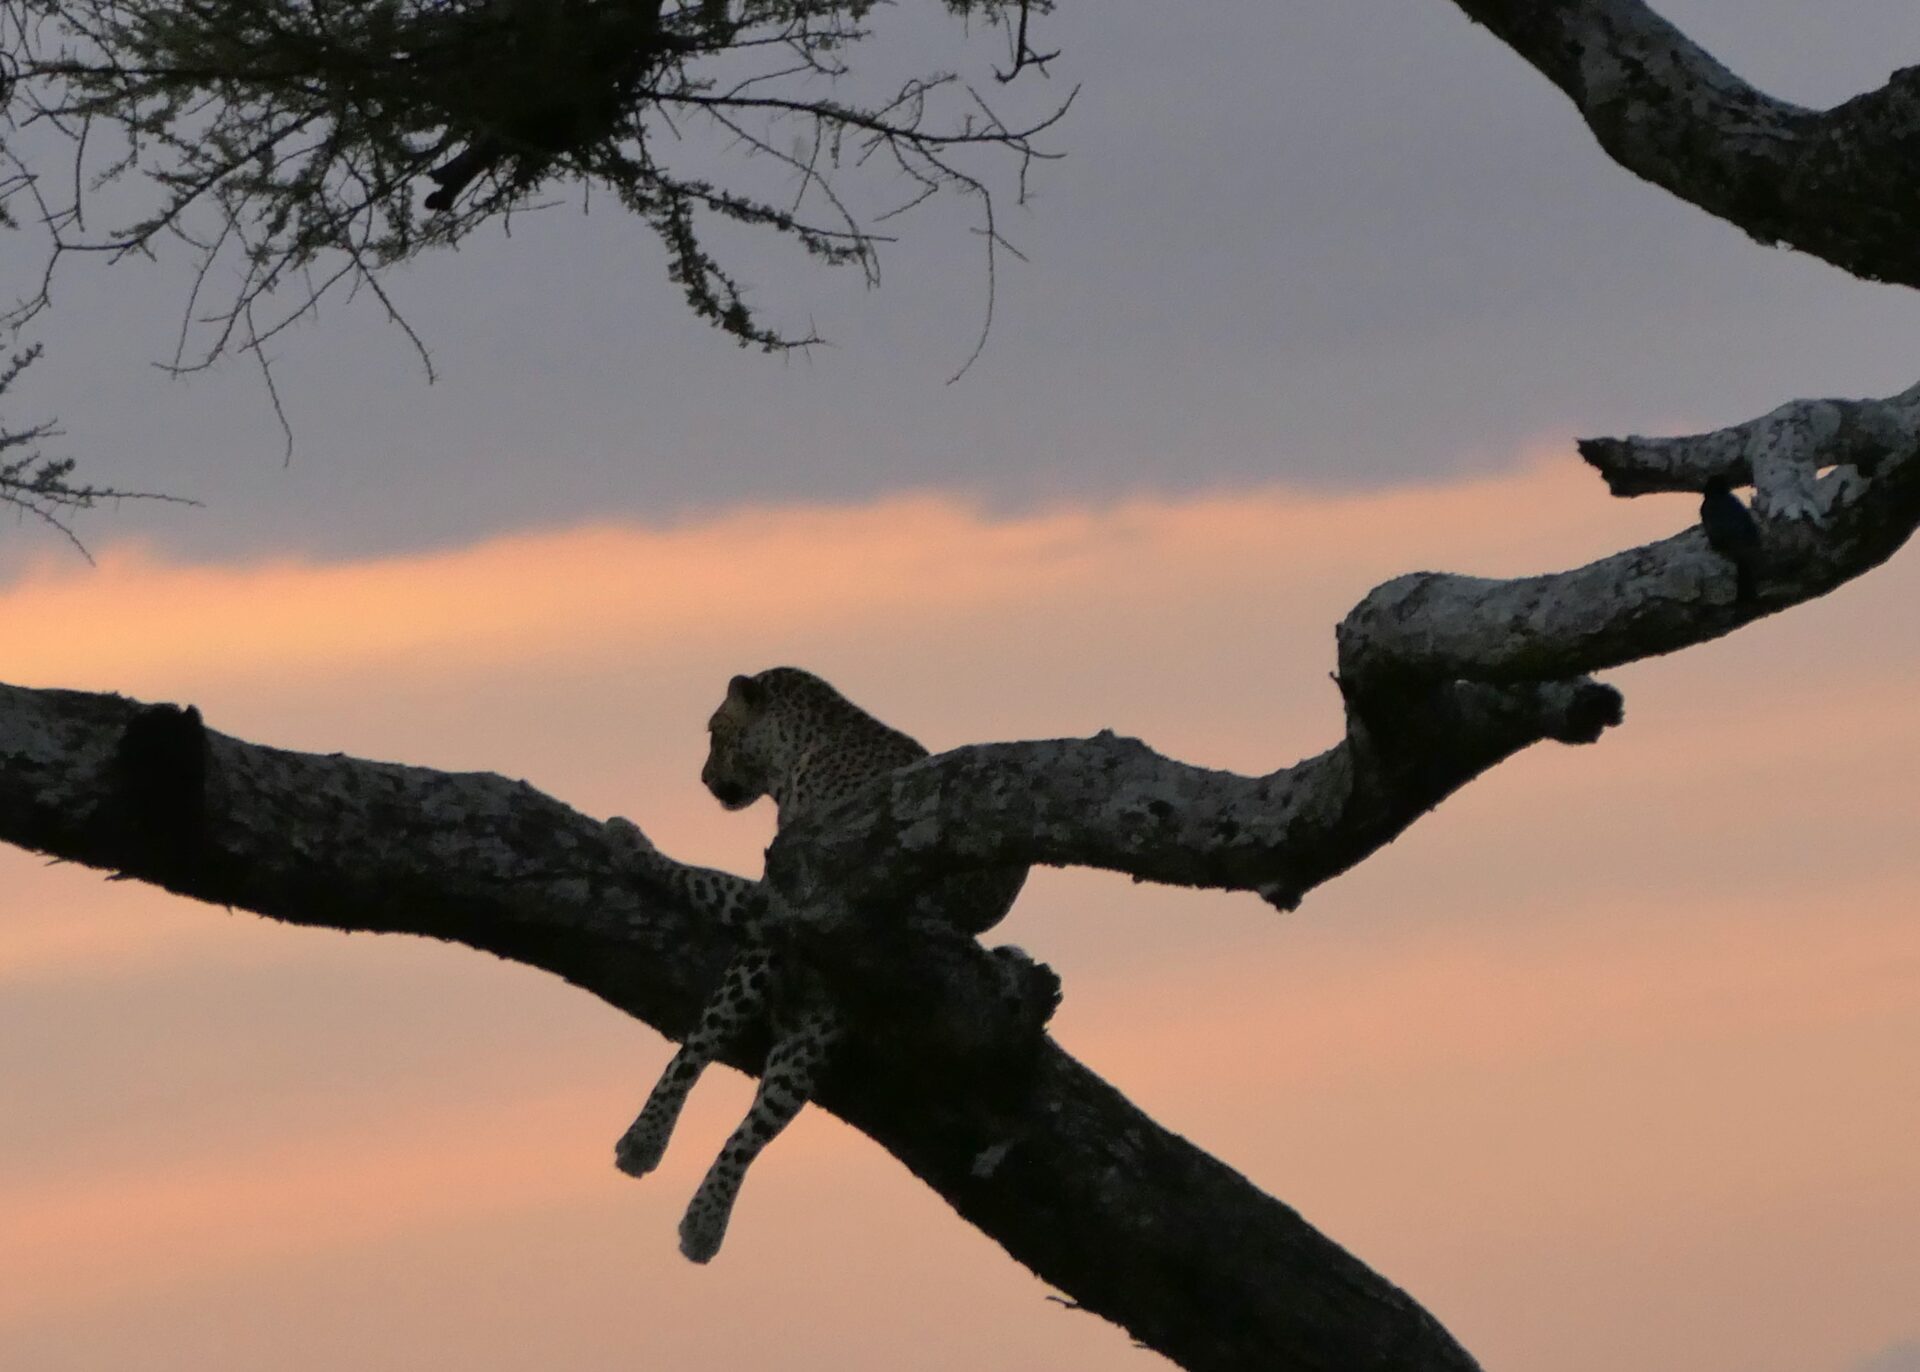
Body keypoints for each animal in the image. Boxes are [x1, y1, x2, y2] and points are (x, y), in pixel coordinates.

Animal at [606, 671, 1029, 1258]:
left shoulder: (786, 897)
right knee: (756, 1124)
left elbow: (699, 881)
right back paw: (704, 1221)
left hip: (808, 1004)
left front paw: (629, 840)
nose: (705, 777)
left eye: (715, 732)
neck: (804, 751)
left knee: (715, 1059)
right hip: (812, 1031)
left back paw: (650, 1150)